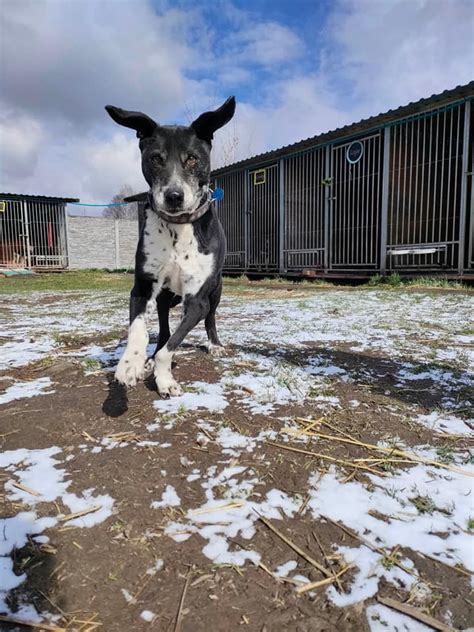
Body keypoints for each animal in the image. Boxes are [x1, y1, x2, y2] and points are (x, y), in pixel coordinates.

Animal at [105, 97, 235, 396]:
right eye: (155, 158)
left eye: (192, 158)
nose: (174, 196)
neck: (178, 228)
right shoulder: (141, 288)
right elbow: (139, 330)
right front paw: (130, 364)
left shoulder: (197, 301)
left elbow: (171, 347)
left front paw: (164, 379)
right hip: (164, 298)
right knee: (164, 330)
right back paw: (149, 359)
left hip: (216, 291)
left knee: (209, 319)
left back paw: (214, 344)